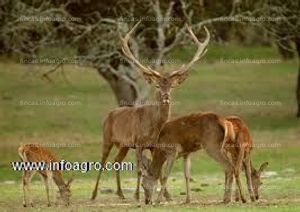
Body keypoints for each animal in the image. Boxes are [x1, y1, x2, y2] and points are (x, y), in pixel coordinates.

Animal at [90, 21, 210, 200]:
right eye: (158, 86)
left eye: (172, 86)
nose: (166, 97)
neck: (153, 126)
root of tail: (109, 114)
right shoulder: (138, 142)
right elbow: (140, 170)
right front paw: (138, 196)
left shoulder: (153, 145)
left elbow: (157, 171)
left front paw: (167, 196)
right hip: (107, 137)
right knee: (103, 161)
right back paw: (94, 194)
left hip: (124, 145)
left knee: (116, 161)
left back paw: (120, 193)